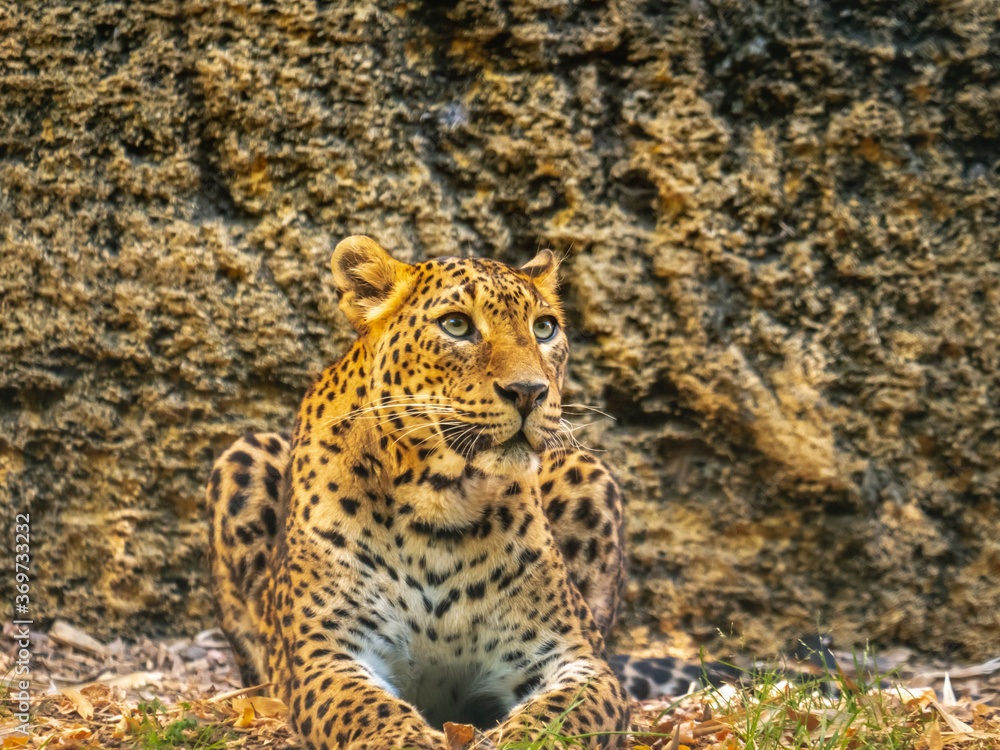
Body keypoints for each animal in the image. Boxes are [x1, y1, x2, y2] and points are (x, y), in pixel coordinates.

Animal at [206, 236, 633, 750]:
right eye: (456, 324)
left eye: (544, 328)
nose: (530, 392)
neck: (443, 502)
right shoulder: (326, 654)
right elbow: (366, 710)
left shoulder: (575, 656)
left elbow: (559, 718)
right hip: (243, 457)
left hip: (584, 469)